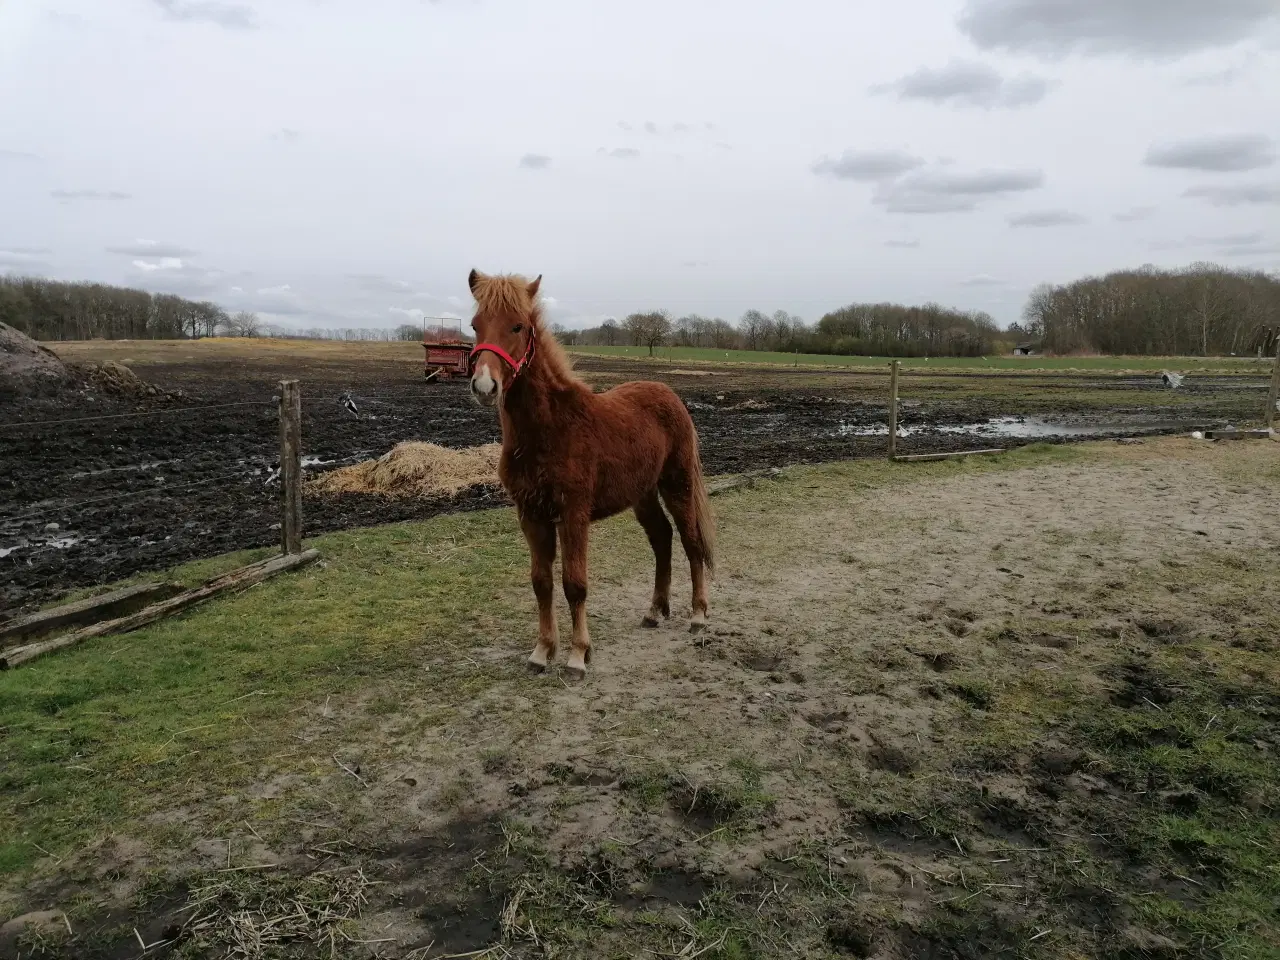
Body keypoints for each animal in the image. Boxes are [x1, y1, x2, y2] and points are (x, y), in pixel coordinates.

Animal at [468, 267, 716, 680]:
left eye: (518, 326)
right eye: (475, 325)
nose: (485, 386)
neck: (549, 429)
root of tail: (669, 394)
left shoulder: (573, 514)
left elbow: (575, 583)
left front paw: (577, 656)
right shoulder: (530, 514)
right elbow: (541, 582)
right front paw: (542, 651)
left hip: (676, 484)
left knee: (691, 541)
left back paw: (697, 616)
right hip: (642, 494)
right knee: (662, 538)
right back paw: (654, 611)